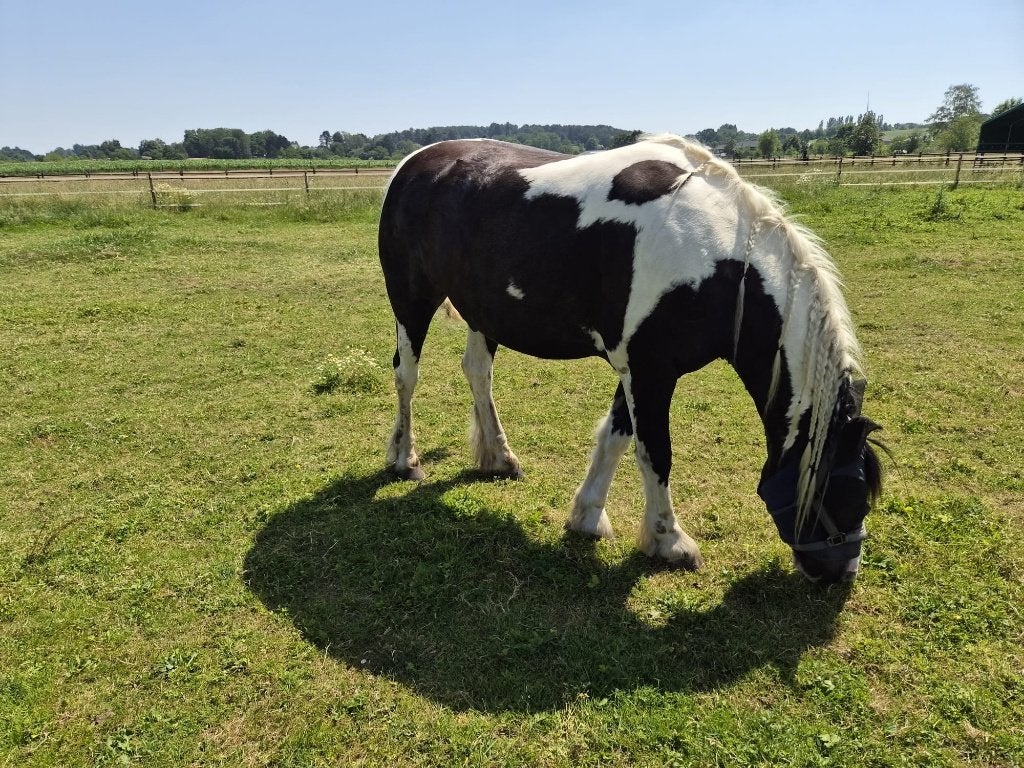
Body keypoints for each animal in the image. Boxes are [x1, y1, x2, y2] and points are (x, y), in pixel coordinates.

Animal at [378, 134, 883, 584]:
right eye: (849, 495)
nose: (841, 575)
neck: (717, 261)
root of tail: (413, 164)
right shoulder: (650, 371)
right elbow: (654, 451)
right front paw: (669, 541)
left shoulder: (639, 370)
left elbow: (617, 436)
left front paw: (587, 517)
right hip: (412, 300)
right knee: (406, 375)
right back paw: (405, 458)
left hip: (485, 314)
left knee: (478, 374)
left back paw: (500, 457)